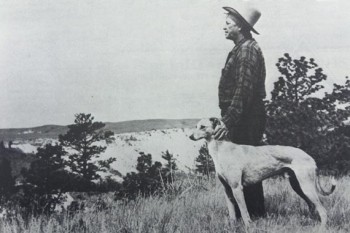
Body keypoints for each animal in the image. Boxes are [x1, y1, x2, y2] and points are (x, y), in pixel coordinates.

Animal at [190, 117, 338, 227]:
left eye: (202, 127)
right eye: (196, 126)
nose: (190, 136)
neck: (222, 149)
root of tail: (311, 158)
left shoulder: (237, 188)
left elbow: (244, 212)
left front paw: (248, 227)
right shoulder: (227, 190)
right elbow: (232, 214)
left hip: (306, 187)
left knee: (323, 211)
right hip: (298, 186)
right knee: (312, 206)